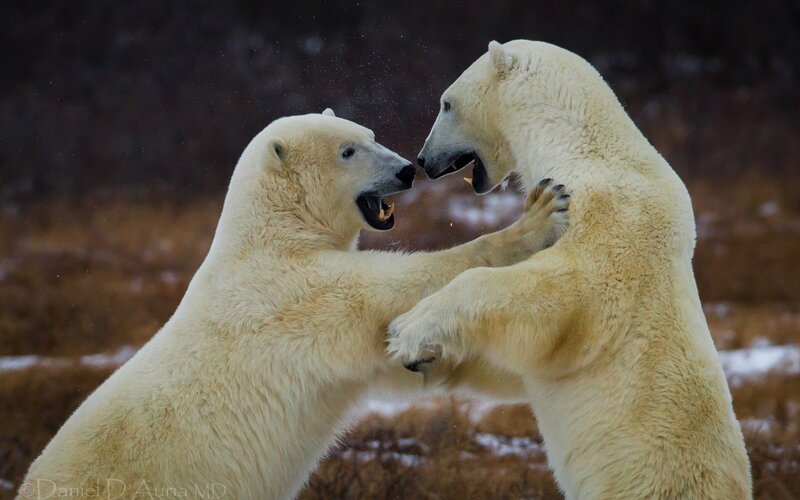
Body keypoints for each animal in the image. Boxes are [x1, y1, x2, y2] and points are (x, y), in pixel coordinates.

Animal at [18, 109, 570, 499]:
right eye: (348, 151)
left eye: (370, 133)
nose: (406, 170)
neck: (271, 232)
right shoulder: (289, 291)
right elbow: (389, 288)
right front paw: (540, 214)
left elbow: (391, 355)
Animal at [388, 41, 752, 499]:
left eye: (446, 103)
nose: (423, 160)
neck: (579, 145)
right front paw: (428, 358)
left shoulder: (609, 218)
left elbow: (563, 297)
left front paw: (407, 331)